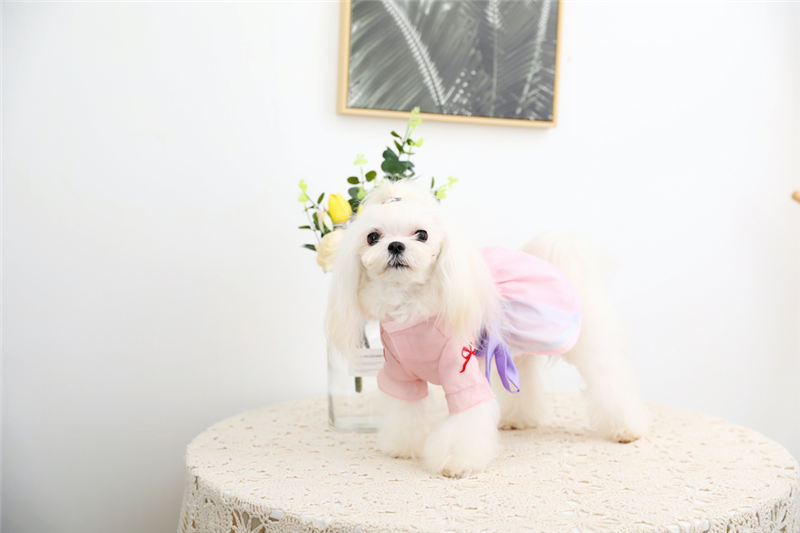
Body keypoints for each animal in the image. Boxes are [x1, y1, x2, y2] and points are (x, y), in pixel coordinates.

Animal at [326, 180, 649, 477]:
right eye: (372, 237)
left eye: (422, 234)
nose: (395, 245)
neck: (410, 306)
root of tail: (556, 263)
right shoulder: (401, 371)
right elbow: (406, 410)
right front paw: (403, 446)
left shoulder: (461, 370)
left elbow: (465, 422)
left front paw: (456, 462)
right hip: (517, 351)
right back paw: (520, 419)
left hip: (585, 341)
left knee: (608, 379)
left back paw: (626, 428)